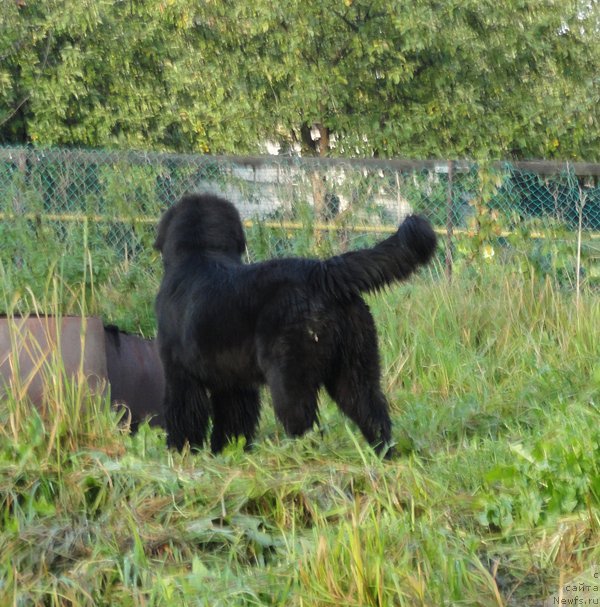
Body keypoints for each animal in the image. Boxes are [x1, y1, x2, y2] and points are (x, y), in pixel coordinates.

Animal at [155, 194, 436, 456]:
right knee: (372, 412)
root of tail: (321, 272)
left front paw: (181, 452)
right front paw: (227, 451)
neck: (200, 254)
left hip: (290, 379)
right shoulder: (234, 384)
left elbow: (184, 416)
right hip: (354, 369)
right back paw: (383, 454)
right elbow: (234, 422)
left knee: (304, 425)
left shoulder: (180, 375)